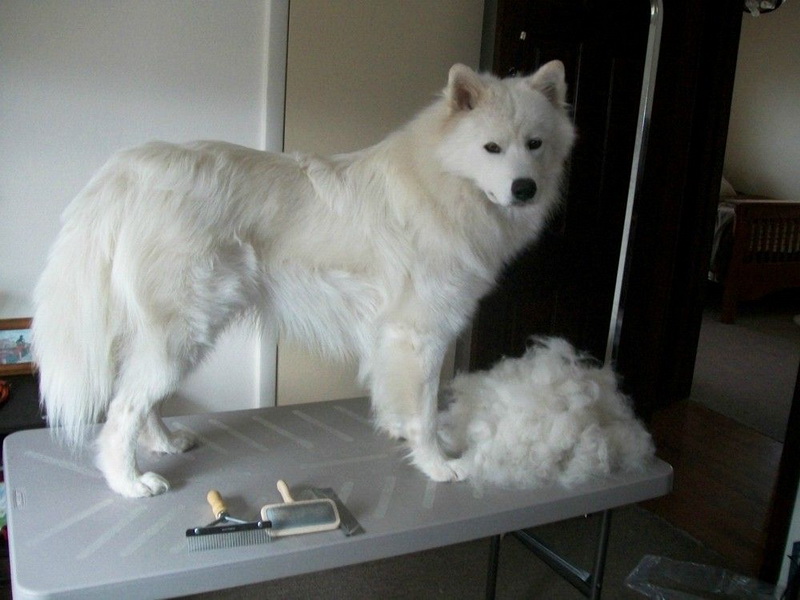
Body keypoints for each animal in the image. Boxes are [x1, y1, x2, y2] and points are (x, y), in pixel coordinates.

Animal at [32, 61, 576, 497]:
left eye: (535, 145)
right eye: (491, 148)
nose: (524, 188)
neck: (441, 182)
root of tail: (132, 170)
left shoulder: (392, 339)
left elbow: (398, 401)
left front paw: (402, 435)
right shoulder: (420, 335)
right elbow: (423, 410)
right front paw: (438, 465)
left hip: (167, 338)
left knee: (140, 402)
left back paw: (165, 442)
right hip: (182, 333)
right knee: (121, 412)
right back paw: (129, 482)